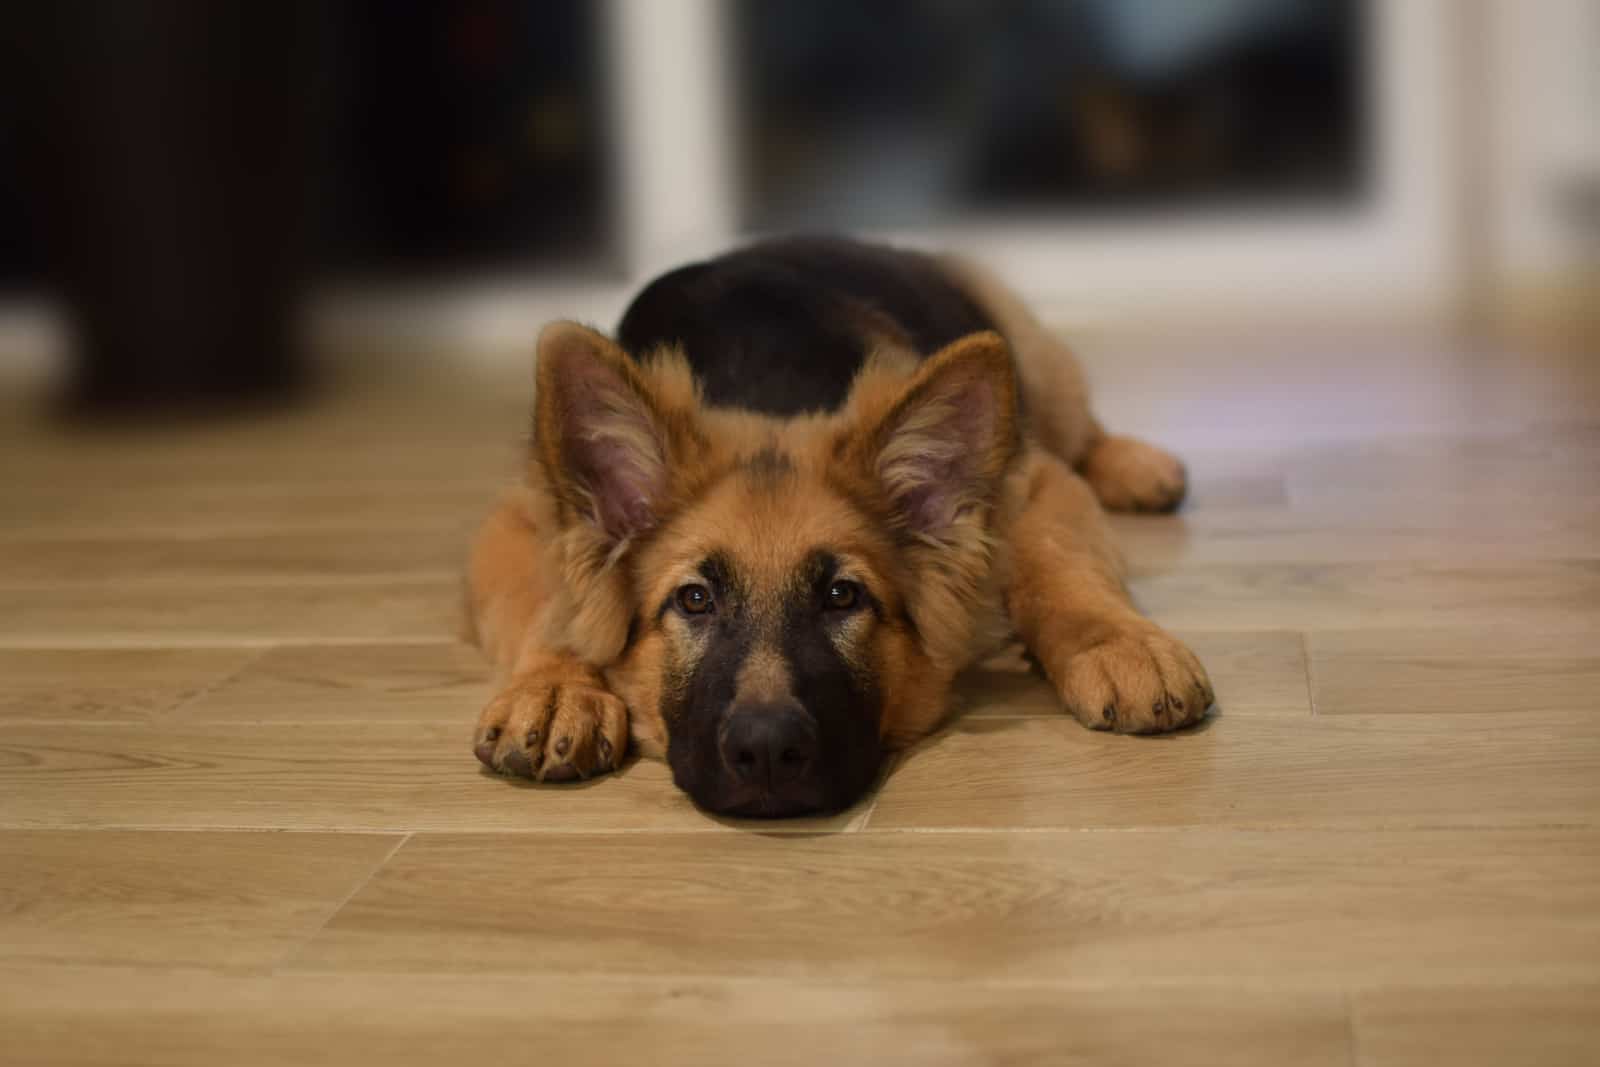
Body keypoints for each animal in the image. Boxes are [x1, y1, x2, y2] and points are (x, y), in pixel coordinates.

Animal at [464, 235, 1209, 819]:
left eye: (842, 595)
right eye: (694, 599)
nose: (766, 751)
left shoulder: (1037, 483)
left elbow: (1058, 563)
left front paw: (1118, 644)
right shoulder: (517, 517)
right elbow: (546, 604)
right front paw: (555, 690)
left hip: (1038, 372)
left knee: (1084, 432)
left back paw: (1138, 466)